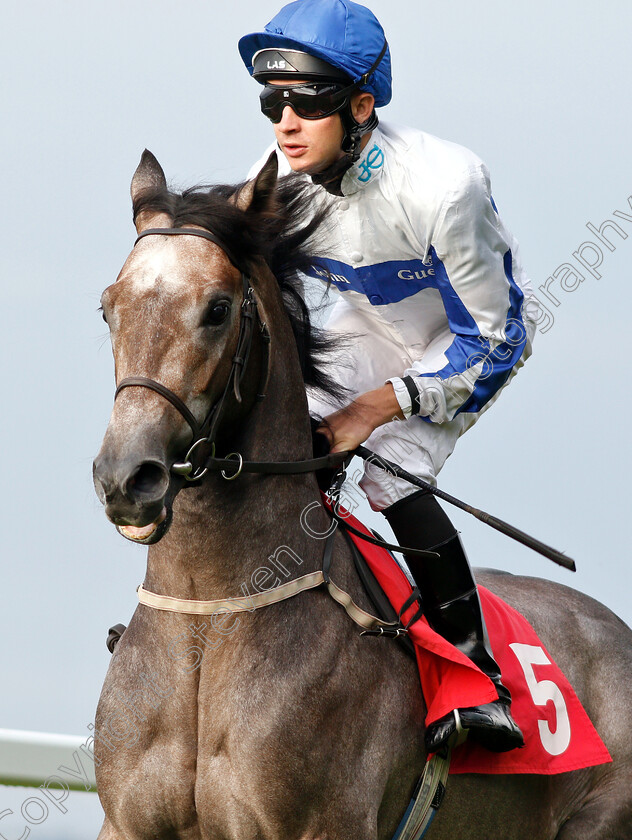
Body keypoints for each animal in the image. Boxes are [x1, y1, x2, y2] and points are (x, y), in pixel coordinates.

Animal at [92, 153, 632, 840]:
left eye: (216, 309)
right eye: (109, 307)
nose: (126, 478)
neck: (210, 618)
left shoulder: (328, 823)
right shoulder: (126, 824)